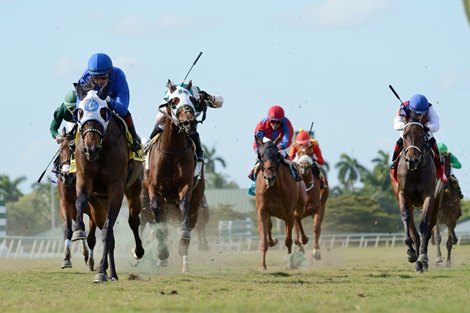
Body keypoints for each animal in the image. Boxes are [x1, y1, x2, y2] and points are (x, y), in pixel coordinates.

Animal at [56, 127, 97, 270]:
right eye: (60, 151)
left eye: (72, 149)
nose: (65, 175)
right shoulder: (65, 203)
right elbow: (69, 229)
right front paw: (66, 259)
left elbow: (89, 234)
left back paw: (90, 260)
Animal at [70, 89, 144, 282]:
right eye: (80, 112)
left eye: (104, 111)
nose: (91, 148)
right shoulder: (84, 179)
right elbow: (80, 201)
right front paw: (78, 230)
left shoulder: (116, 188)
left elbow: (107, 230)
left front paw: (101, 271)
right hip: (98, 204)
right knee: (109, 233)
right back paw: (112, 273)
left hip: (134, 189)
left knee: (133, 221)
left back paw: (136, 253)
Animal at [145, 81, 204, 272]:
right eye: (173, 101)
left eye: (192, 99)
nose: (189, 123)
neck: (171, 151)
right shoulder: (154, 188)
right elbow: (157, 218)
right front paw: (162, 252)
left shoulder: (185, 185)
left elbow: (184, 205)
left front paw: (183, 237)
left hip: (195, 204)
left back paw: (185, 265)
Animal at [255, 135, 306, 270]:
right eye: (261, 155)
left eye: (277, 154)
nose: (270, 176)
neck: (274, 188)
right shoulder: (262, 211)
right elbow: (264, 239)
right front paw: (263, 266)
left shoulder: (288, 212)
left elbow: (288, 240)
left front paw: (290, 263)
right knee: (270, 226)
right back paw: (274, 241)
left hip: (300, 204)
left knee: (298, 217)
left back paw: (303, 240)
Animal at [390, 114, 440, 270]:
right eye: (405, 135)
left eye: (422, 136)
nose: (412, 160)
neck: (415, 171)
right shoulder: (403, 195)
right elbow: (406, 217)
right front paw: (411, 252)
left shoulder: (429, 196)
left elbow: (424, 224)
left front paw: (423, 256)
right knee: (414, 231)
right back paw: (417, 261)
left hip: (436, 202)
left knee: (430, 227)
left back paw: (423, 260)